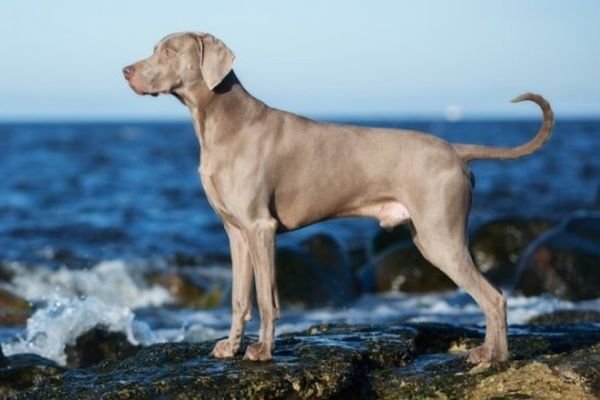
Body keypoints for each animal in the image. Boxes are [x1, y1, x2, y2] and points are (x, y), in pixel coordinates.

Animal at [124, 31, 556, 362]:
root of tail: (454, 149)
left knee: (494, 297)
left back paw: (493, 358)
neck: (220, 122)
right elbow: (239, 298)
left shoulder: (260, 228)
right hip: (428, 235)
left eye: (169, 51)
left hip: (440, 236)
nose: (125, 71)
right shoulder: (236, 233)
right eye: (156, 47)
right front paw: (230, 347)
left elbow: (266, 298)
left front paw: (262, 351)